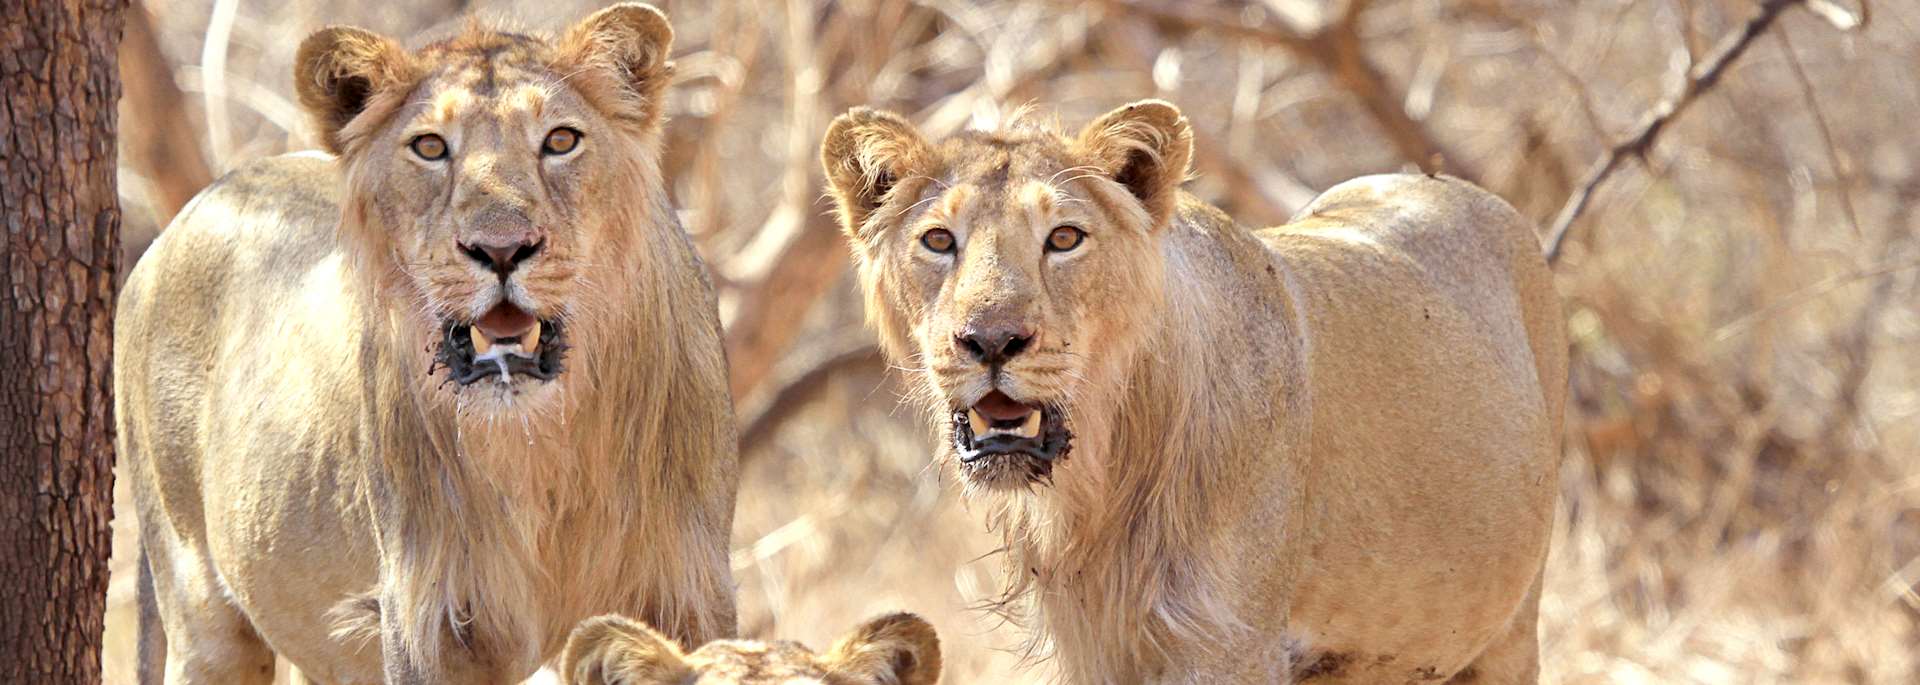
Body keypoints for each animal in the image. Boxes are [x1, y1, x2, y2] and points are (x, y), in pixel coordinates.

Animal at [114, 5, 739, 682]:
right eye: (431, 147)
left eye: (561, 141)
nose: (501, 249)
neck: (541, 447)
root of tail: (192, 207)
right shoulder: (424, 615)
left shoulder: (692, 592)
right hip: (198, 605)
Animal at [819, 101, 1567, 683]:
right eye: (938, 241)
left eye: (1064, 238)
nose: (992, 340)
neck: (1102, 481)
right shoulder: (1096, 648)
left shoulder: (1230, 643)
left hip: (1511, 628)